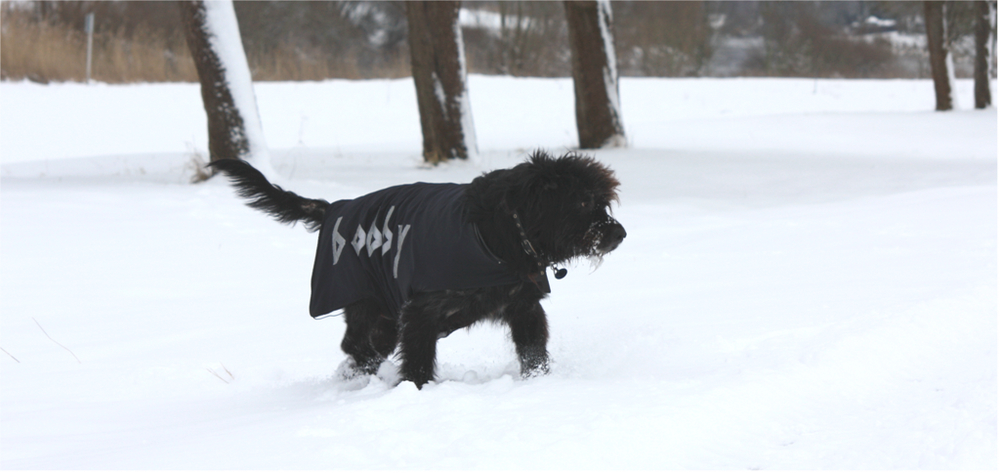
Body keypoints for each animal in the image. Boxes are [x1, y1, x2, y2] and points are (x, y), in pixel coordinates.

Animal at [211, 151, 624, 388]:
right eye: (583, 201)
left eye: (602, 202)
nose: (618, 233)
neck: (499, 233)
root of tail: (334, 208)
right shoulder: (420, 316)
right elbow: (419, 365)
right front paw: (415, 392)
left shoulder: (524, 308)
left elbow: (534, 353)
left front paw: (539, 385)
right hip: (368, 309)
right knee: (355, 348)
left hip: (381, 319)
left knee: (359, 352)